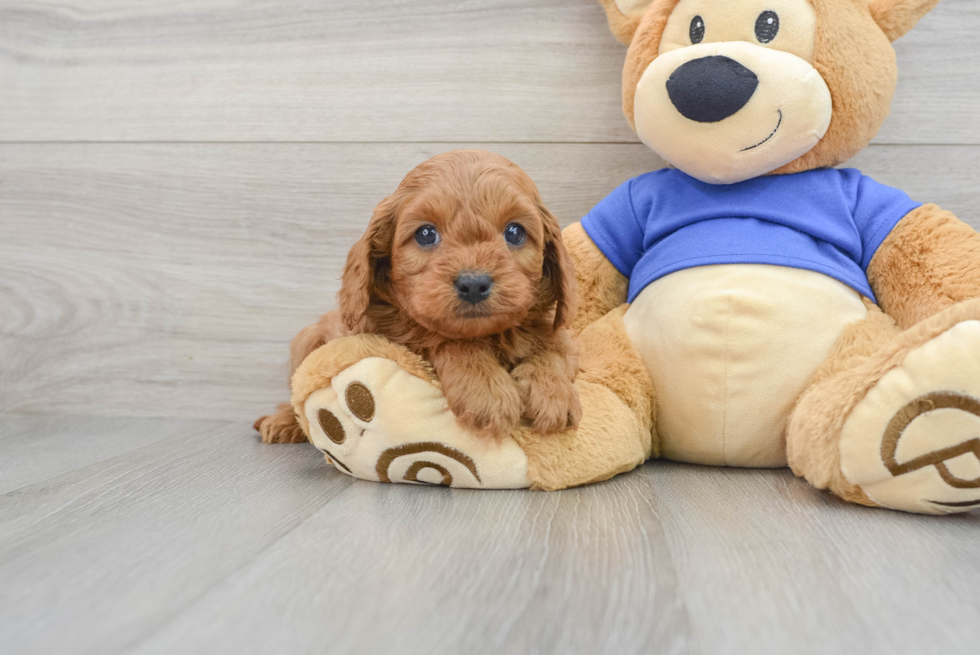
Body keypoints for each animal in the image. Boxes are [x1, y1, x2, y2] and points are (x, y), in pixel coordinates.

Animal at [258, 151, 580, 444]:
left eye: (514, 232)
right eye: (426, 234)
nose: (474, 283)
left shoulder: (560, 337)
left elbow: (553, 350)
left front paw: (553, 391)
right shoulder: (391, 337)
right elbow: (443, 338)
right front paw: (487, 390)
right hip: (306, 340)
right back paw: (282, 422)